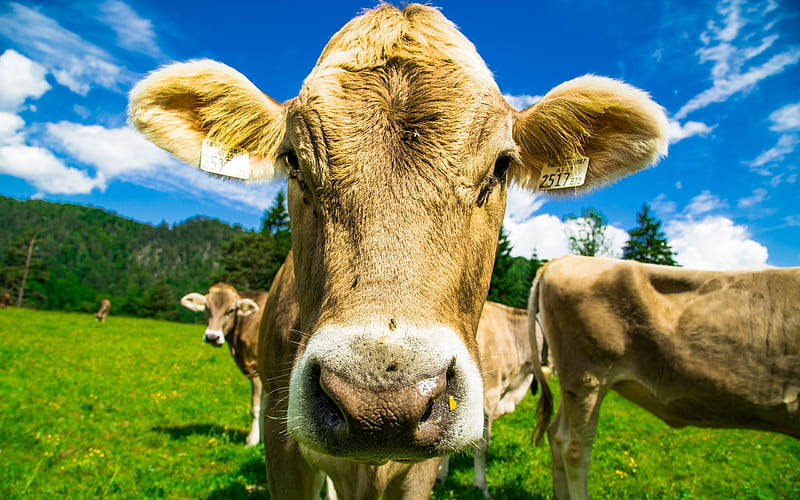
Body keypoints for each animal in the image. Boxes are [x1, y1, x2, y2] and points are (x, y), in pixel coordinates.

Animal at [181, 284, 268, 448]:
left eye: (231, 310)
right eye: (207, 308)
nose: (212, 337)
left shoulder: (255, 369)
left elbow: (257, 407)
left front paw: (252, 441)